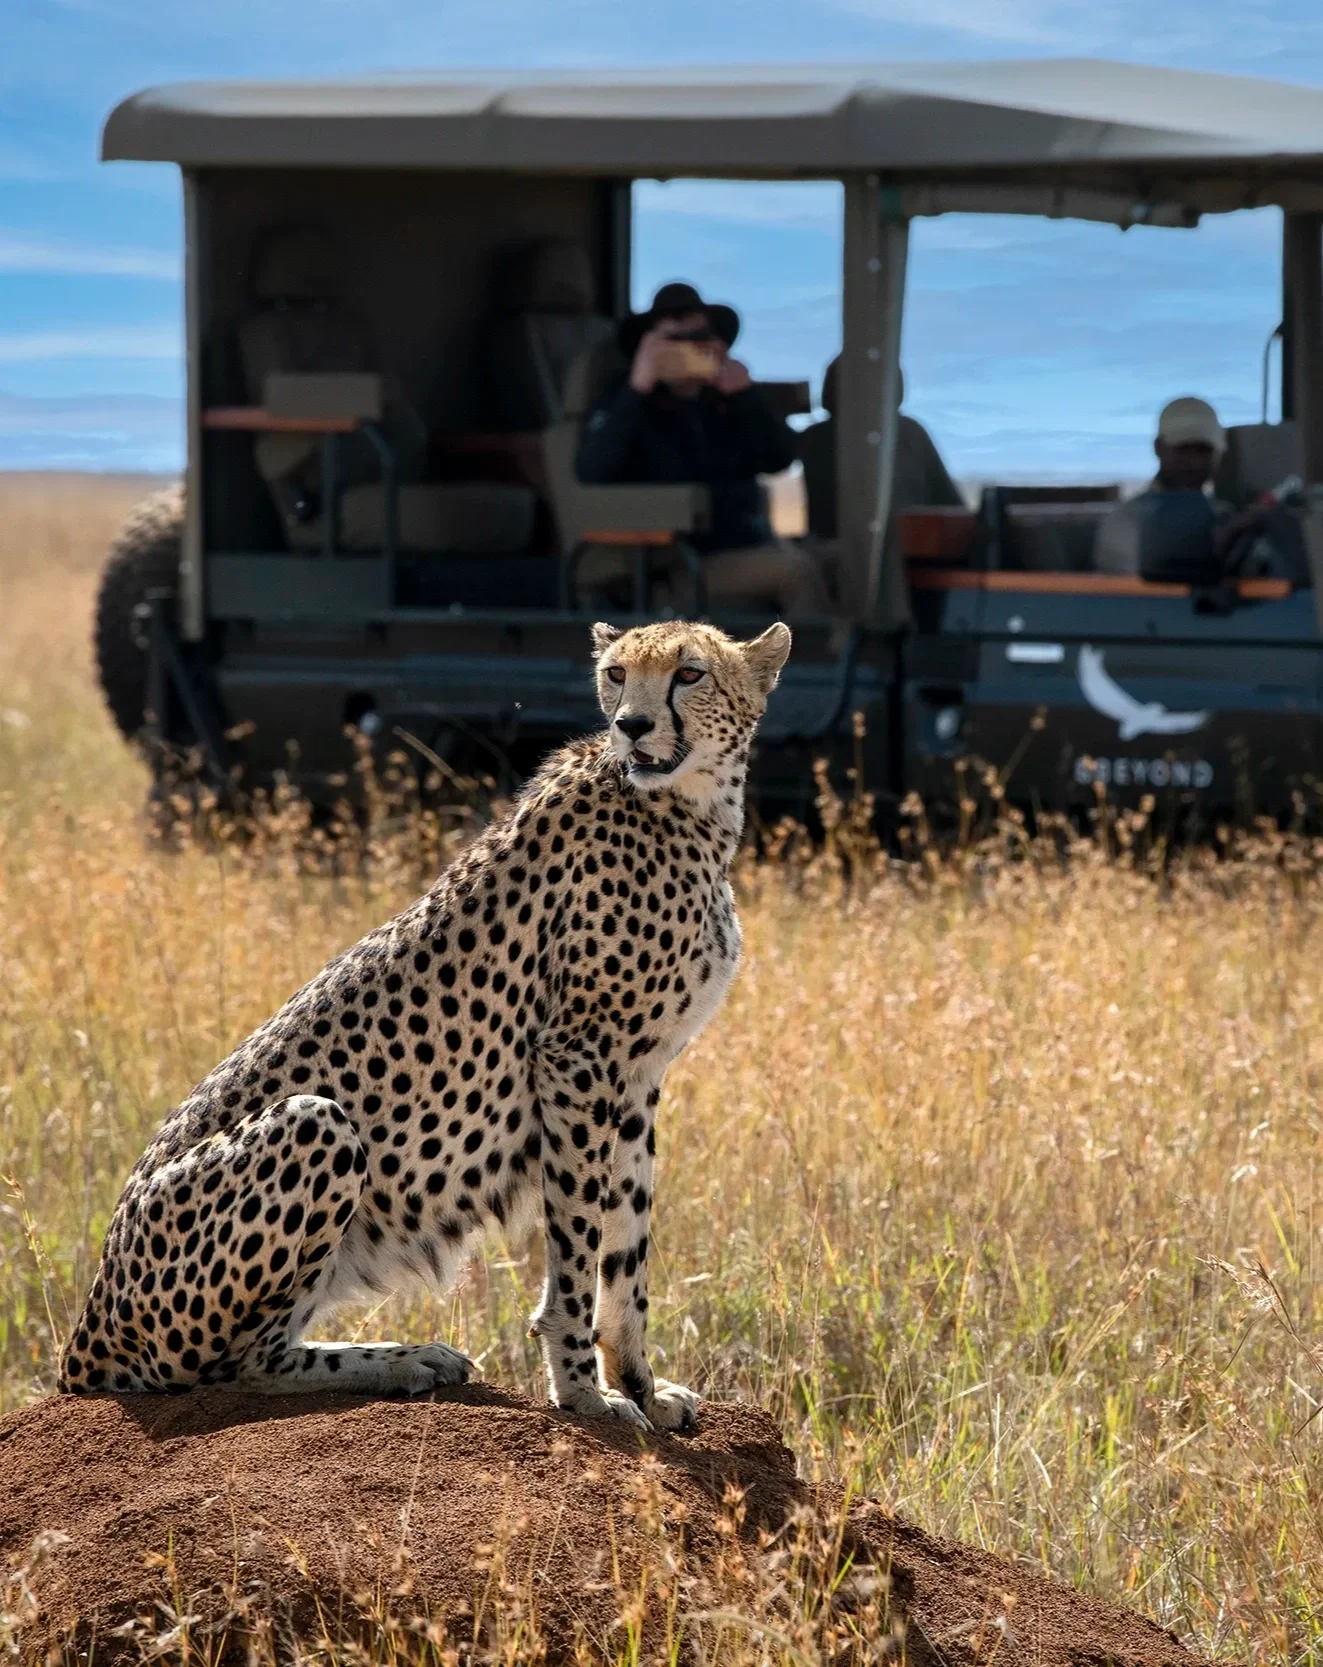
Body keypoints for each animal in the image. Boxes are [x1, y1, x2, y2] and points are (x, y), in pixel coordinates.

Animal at [59, 618, 792, 1431]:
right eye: (615, 673)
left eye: (690, 673)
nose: (631, 724)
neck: (688, 805)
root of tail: (83, 1333)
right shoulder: (576, 1059)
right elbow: (577, 1239)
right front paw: (581, 1392)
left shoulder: (636, 1074)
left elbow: (626, 1242)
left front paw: (640, 1385)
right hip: (315, 1124)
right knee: (230, 1366)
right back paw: (401, 1359)